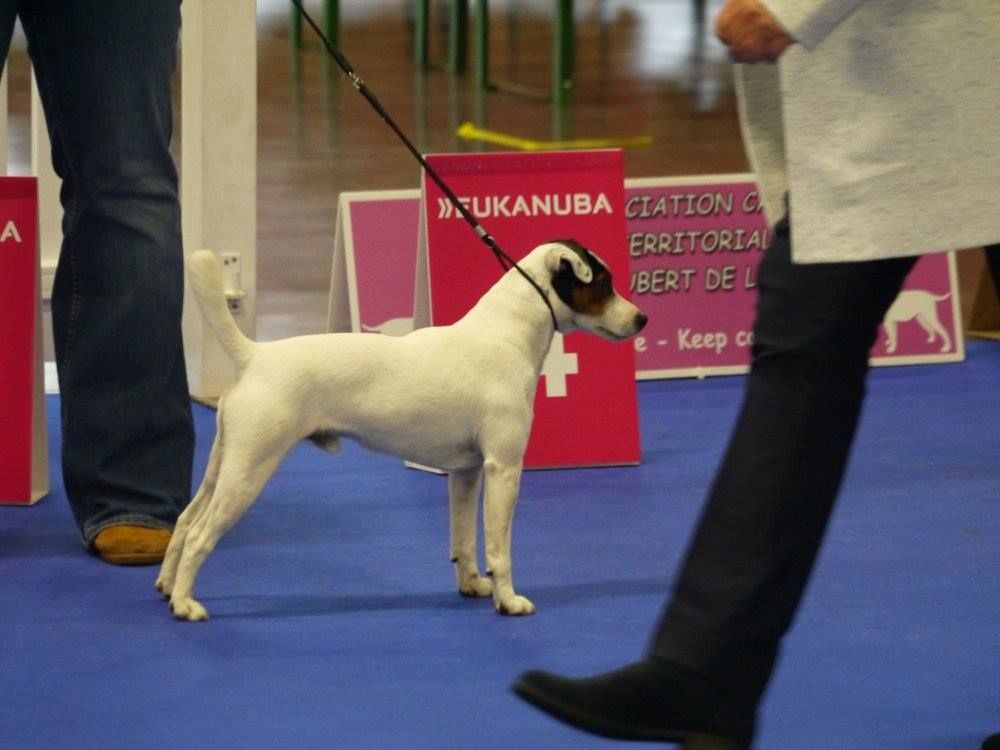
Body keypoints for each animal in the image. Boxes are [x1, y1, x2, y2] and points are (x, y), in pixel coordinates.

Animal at [156, 240, 647, 621]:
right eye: (602, 284)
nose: (642, 319)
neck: (507, 335)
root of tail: (256, 356)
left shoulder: (466, 473)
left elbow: (464, 538)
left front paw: (473, 584)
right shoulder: (503, 468)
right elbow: (499, 548)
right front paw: (508, 600)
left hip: (226, 463)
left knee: (186, 520)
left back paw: (166, 586)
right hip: (249, 471)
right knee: (201, 535)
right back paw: (186, 604)